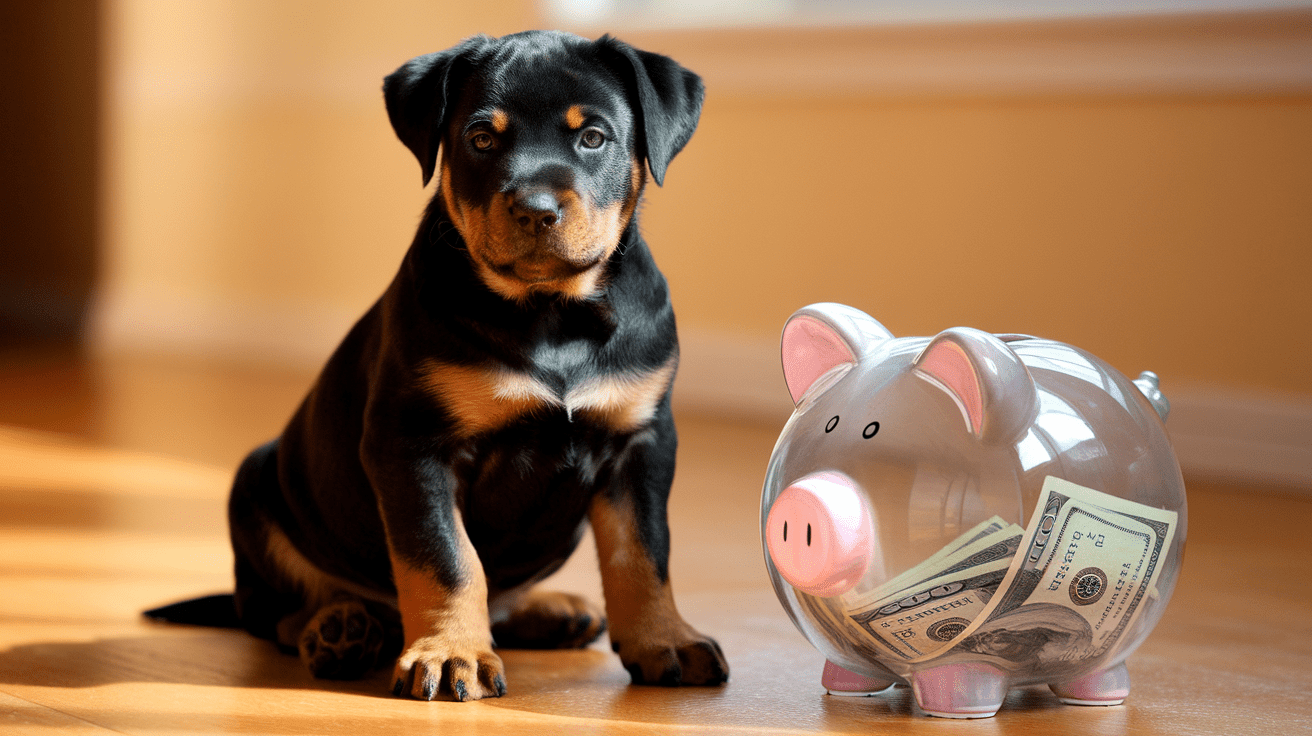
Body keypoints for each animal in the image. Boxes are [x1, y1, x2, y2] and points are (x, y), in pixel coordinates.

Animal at [220, 31, 729, 697]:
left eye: (593, 137)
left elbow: (643, 553)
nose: (536, 209)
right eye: (482, 139)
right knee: (273, 610)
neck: (551, 314)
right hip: (255, 481)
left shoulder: (640, 441)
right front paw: (449, 653)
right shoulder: (413, 445)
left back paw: (554, 611)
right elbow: (447, 558)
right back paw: (339, 629)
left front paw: (665, 640)